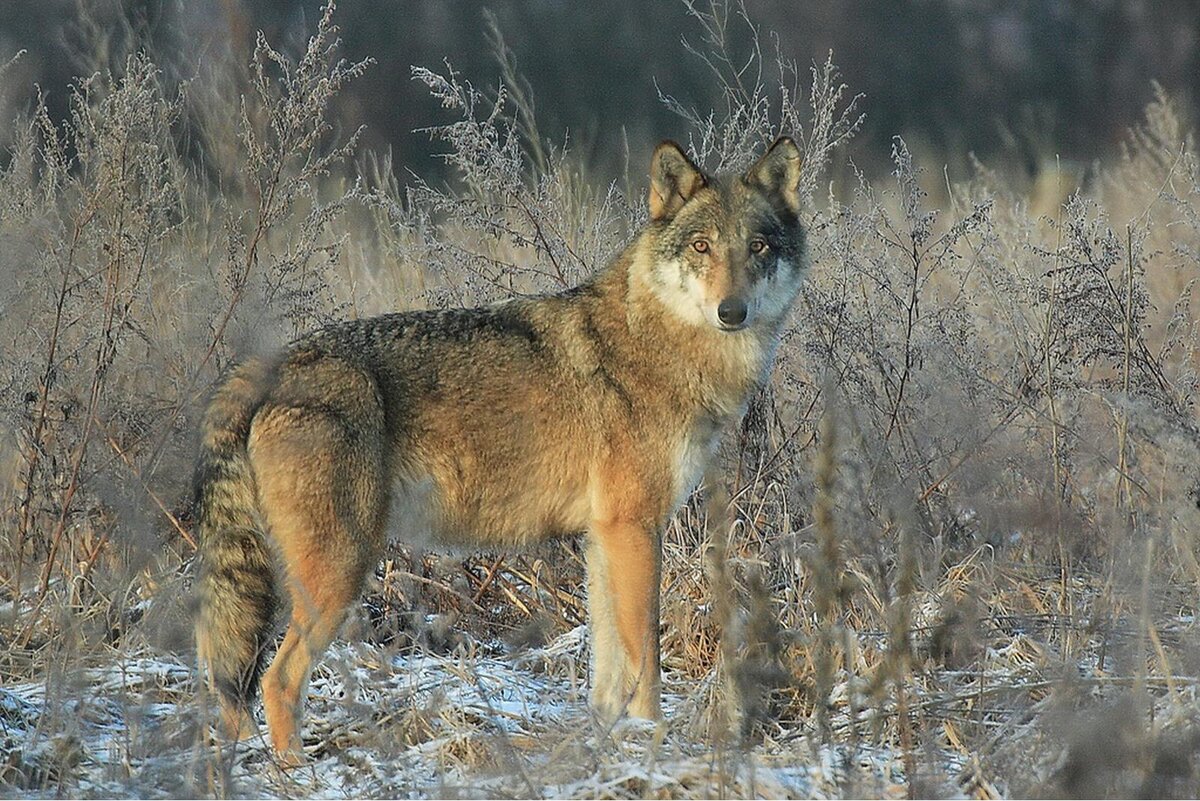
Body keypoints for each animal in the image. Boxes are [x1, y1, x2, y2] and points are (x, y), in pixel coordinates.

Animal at [196, 137, 811, 762]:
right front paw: (650, 742)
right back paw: (295, 770)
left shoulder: (604, 537)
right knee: (277, 679)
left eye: (758, 247)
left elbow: (607, 669)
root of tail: (270, 364)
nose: (732, 312)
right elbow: (645, 658)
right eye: (702, 246)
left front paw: (605, 745)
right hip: (339, 574)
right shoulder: (634, 528)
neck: (661, 343)